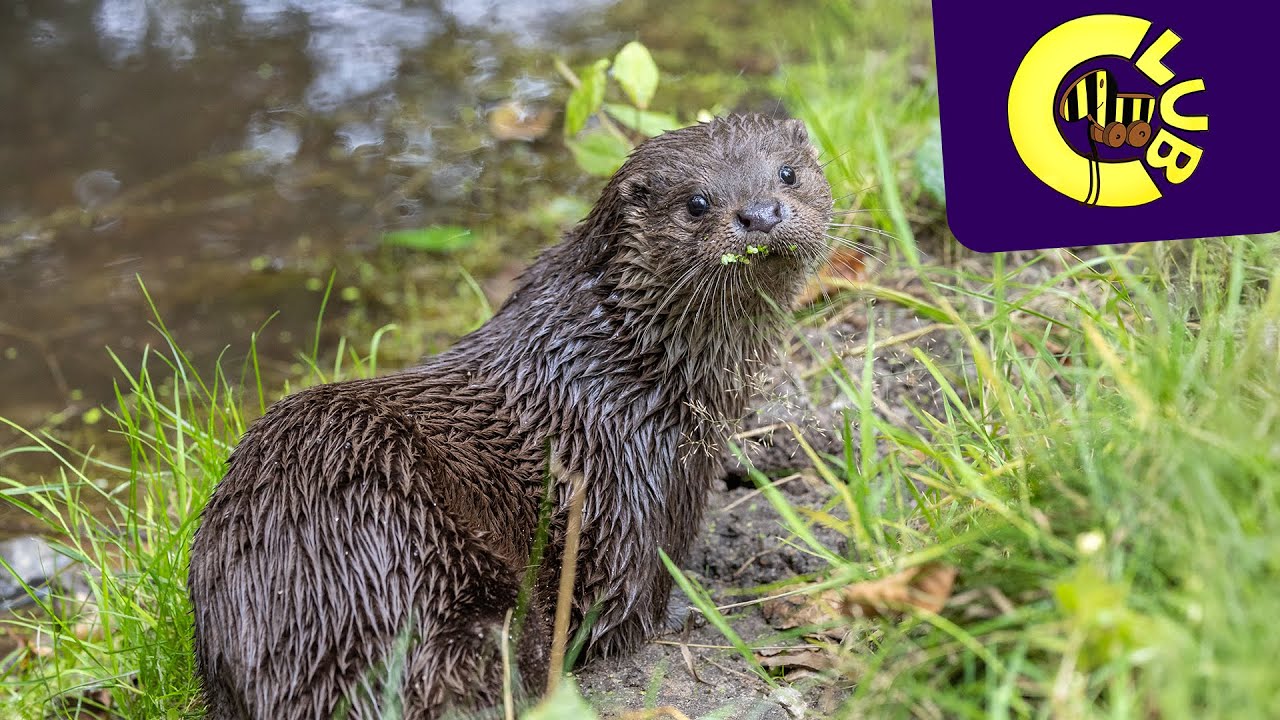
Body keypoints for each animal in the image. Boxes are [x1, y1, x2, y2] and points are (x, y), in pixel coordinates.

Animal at [188, 114, 834, 719]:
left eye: (787, 173)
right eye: (697, 203)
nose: (760, 213)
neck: (618, 369)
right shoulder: (618, 499)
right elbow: (619, 612)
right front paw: (685, 611)